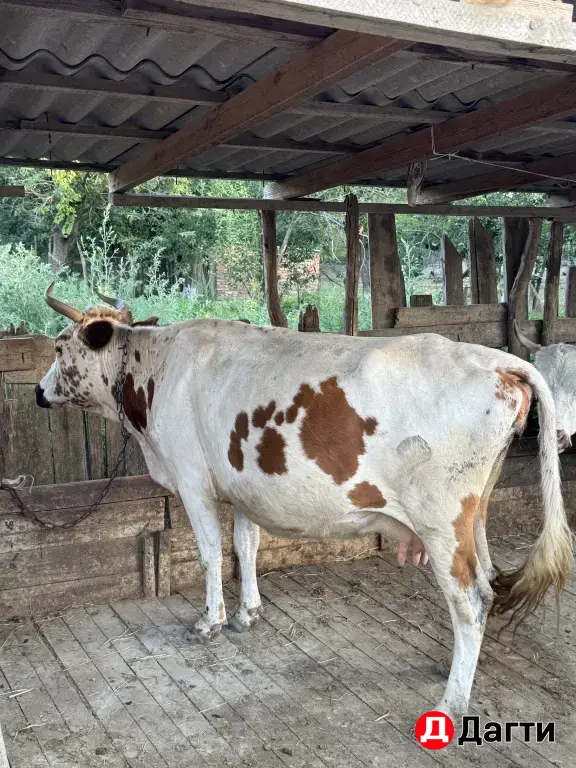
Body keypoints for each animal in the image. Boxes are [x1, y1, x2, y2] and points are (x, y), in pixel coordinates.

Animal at [36, 285, 573, 723]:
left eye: (60, 346)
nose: (40, 393)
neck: (155, 368)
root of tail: (496, 360)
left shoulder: (191, 481)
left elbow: (210, 553)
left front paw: (209, 621)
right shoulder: (244, 488)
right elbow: (245, 546)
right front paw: (247, 613)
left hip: (442, 522)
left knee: (471, 601)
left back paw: (452, 701)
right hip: (474, 515)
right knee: (486, 583)